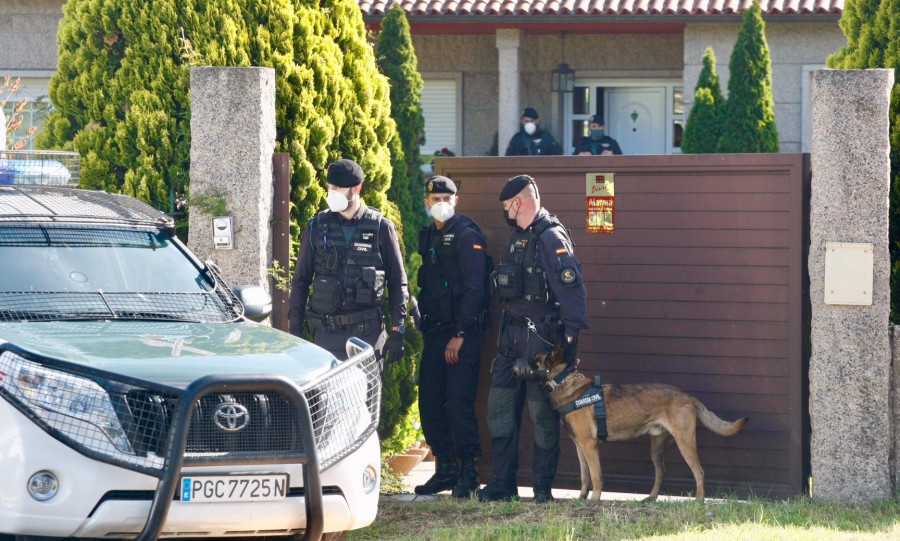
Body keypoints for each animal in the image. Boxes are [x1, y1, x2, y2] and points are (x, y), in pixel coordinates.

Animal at [532, 348, 748, 500]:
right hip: (656, 448)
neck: (564, 382)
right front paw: (582, 499)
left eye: (534, 358)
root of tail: (687, 396)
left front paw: (594, 501)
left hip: (685, 443)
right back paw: (651, 498)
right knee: (661, 472)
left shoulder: (590, 446)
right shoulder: (580, 447)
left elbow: (595, 476)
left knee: (699, 472)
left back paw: (699, 501)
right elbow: (584, 477)